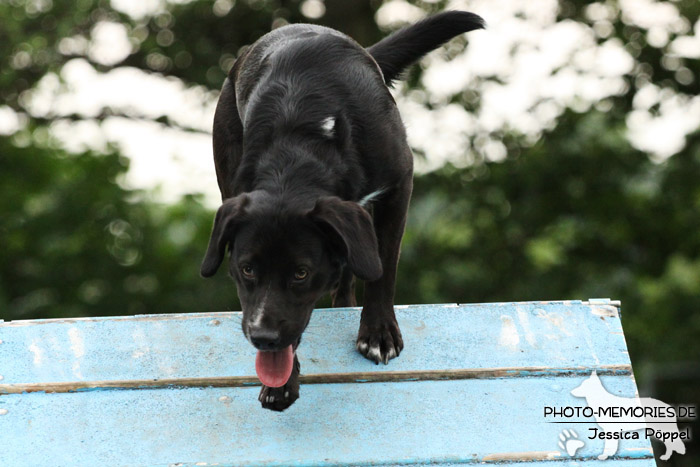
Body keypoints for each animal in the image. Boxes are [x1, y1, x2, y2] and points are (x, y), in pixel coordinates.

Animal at [200, 10, 484, 414]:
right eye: (247, 269)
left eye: (301, 272)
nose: (262, 337)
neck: (300, 145)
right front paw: (281, 384)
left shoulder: (400, 184)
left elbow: (383, 268)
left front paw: (379, 334)